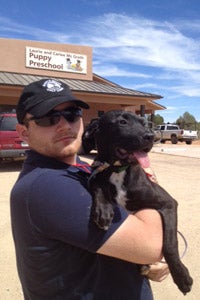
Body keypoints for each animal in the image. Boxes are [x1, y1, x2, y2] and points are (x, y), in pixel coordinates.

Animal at [84, 109, 192, 294]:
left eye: (144, 123)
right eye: (122, 122)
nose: (150, 136)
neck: (118, 170)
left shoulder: (168, 203)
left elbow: (170, 243)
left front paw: (182, 277)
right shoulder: (96, 173)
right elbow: (97, 183)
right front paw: (103, 210)